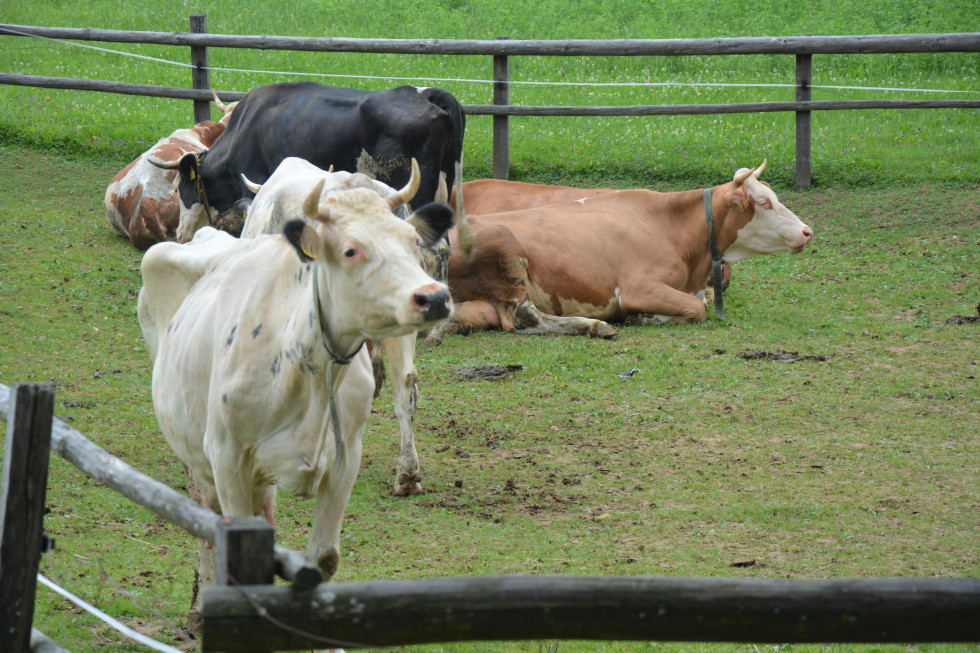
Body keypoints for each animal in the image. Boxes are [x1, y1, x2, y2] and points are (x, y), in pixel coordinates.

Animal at [136, 162, 454, 616]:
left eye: (410, 240)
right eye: (350, 249)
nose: (434, 297)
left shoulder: (344, 461)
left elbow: (324, 558)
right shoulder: (227, 458)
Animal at [424, 162, 816, 346]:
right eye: (763, 202)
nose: (807, 231)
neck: (671, 225)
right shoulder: (637, 288)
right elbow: (697, 308)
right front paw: (642, 318)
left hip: (477, 308)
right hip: (506, 248)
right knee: (525, 317)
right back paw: (595, 326)